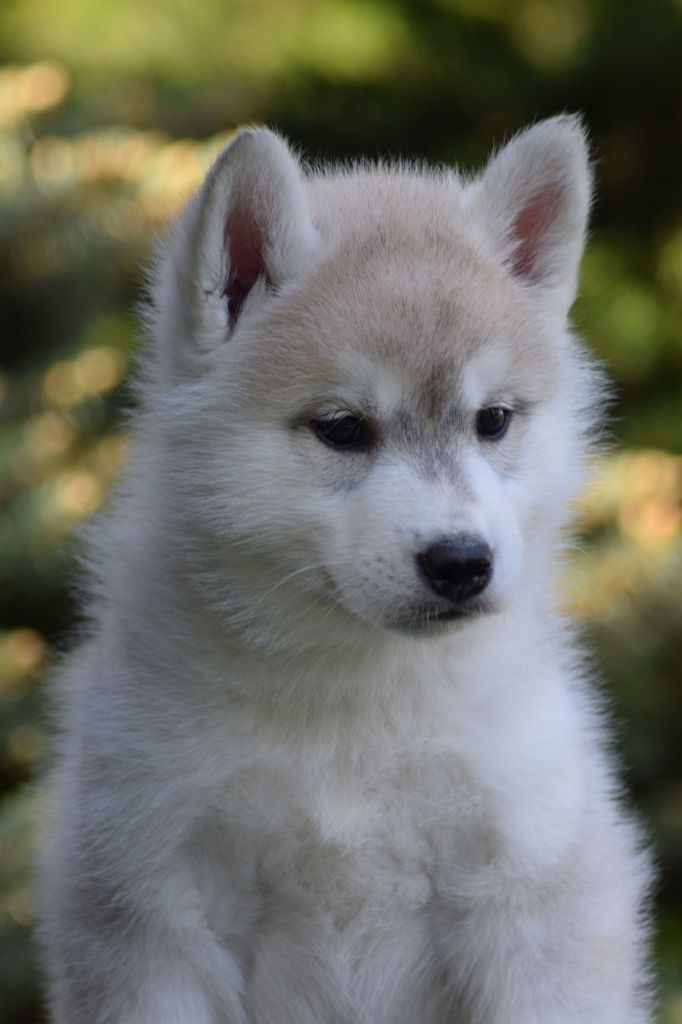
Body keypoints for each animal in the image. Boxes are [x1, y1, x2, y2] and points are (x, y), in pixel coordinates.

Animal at [40, 116, 652, 1023]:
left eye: (493, 420)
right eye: (341, 428)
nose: (461, 563)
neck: (352, 703)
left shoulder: (531, 894)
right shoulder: (151, 911)